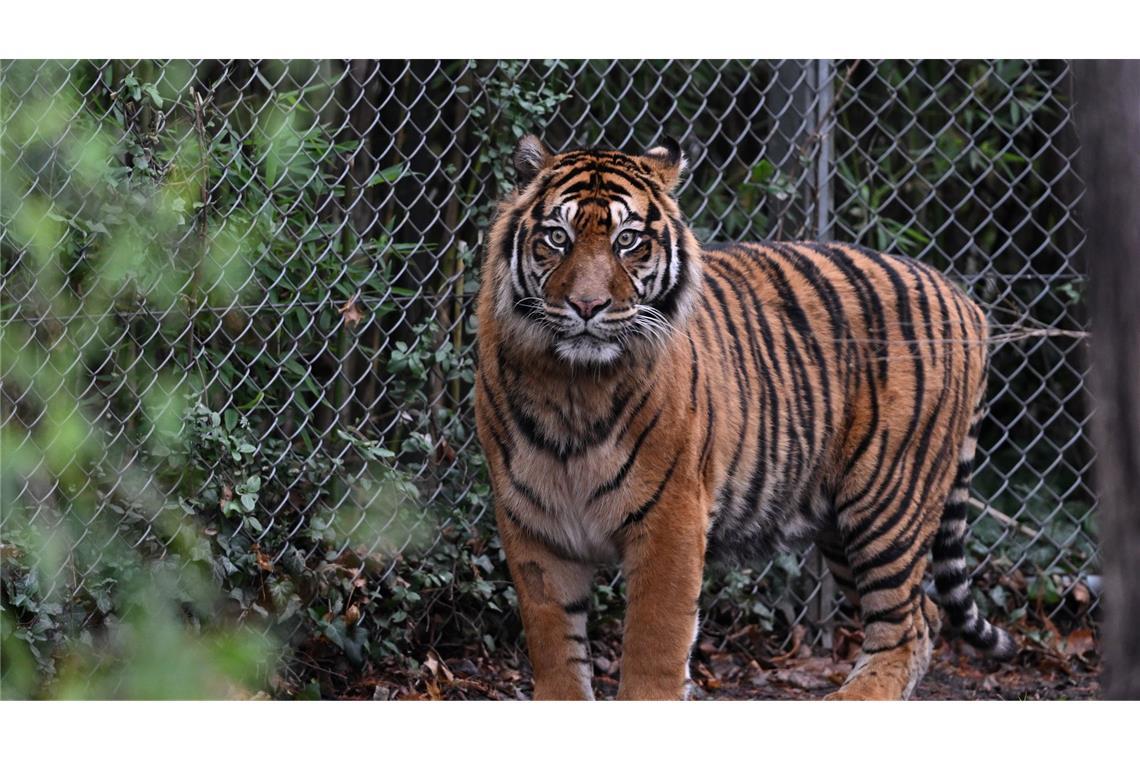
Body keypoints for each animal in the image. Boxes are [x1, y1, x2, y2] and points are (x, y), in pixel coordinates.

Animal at [471, 133, 1016, 697]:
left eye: (628, 241)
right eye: (557, 237)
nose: (586, 305)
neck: (572, 387)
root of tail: (965, 300)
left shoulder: (671, 518)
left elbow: (653, 646)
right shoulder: (533, 523)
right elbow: (554, 645)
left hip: (888, 499)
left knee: (906, 623)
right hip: (840, 522)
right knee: (925, 613)